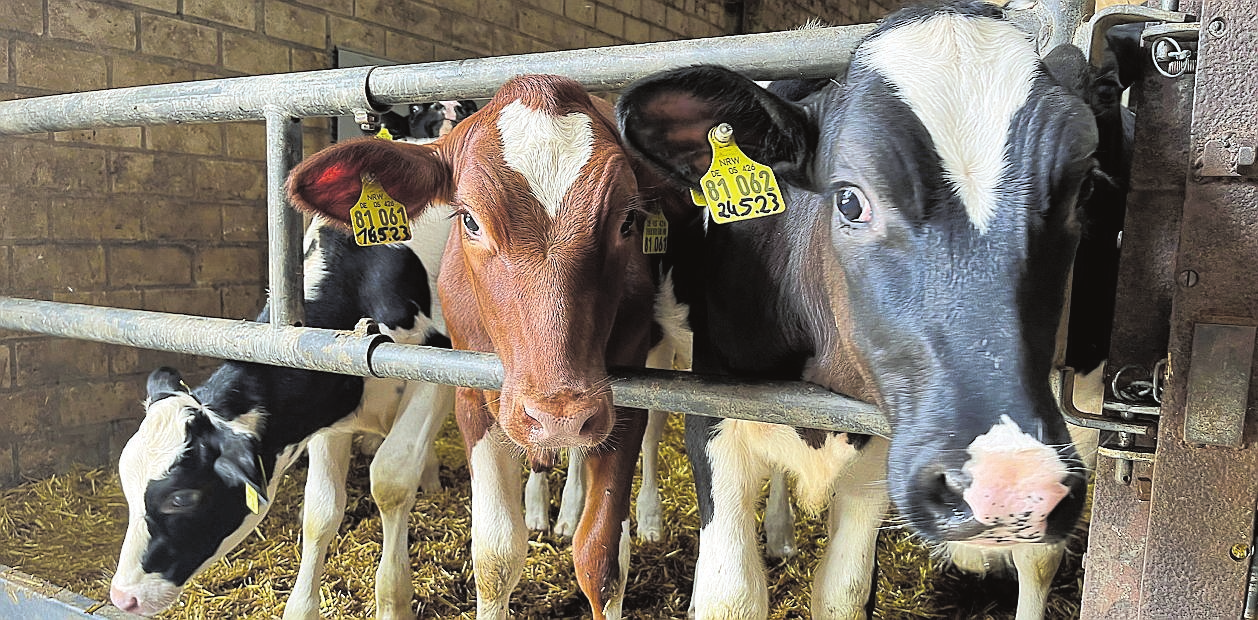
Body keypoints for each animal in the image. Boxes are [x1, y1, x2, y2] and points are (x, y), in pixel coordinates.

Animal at [108, 210, 452, 616]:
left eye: (182, 498)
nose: (122, 597)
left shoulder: (434, 368)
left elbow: (390, 480)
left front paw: (393, 605)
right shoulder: (328, 405)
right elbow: (321, 509)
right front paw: (300, 609)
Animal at [288, 74, 679, 616]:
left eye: (627, 220)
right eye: (470, 220)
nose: (558, 415)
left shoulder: (621, 398)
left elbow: (602, 558)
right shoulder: (471, 392)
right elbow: (496, 556)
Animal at [623, 2, 1107, 616]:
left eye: (1082, 191)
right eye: (850, 199)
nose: (1011, 485)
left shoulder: (880, 451)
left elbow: (844, 594)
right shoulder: (714, 415)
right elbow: (730, 594)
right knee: (647, 424)